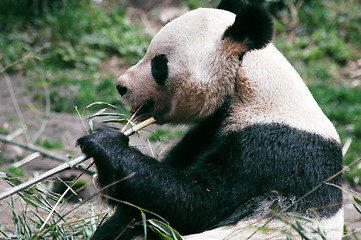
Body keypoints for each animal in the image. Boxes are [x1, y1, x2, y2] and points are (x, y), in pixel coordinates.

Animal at [76, 0, 344, 239]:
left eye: (159, 64)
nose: (122, 86)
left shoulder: (271, 149)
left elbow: (197, 203)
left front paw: (104, 143)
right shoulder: (209, 129)